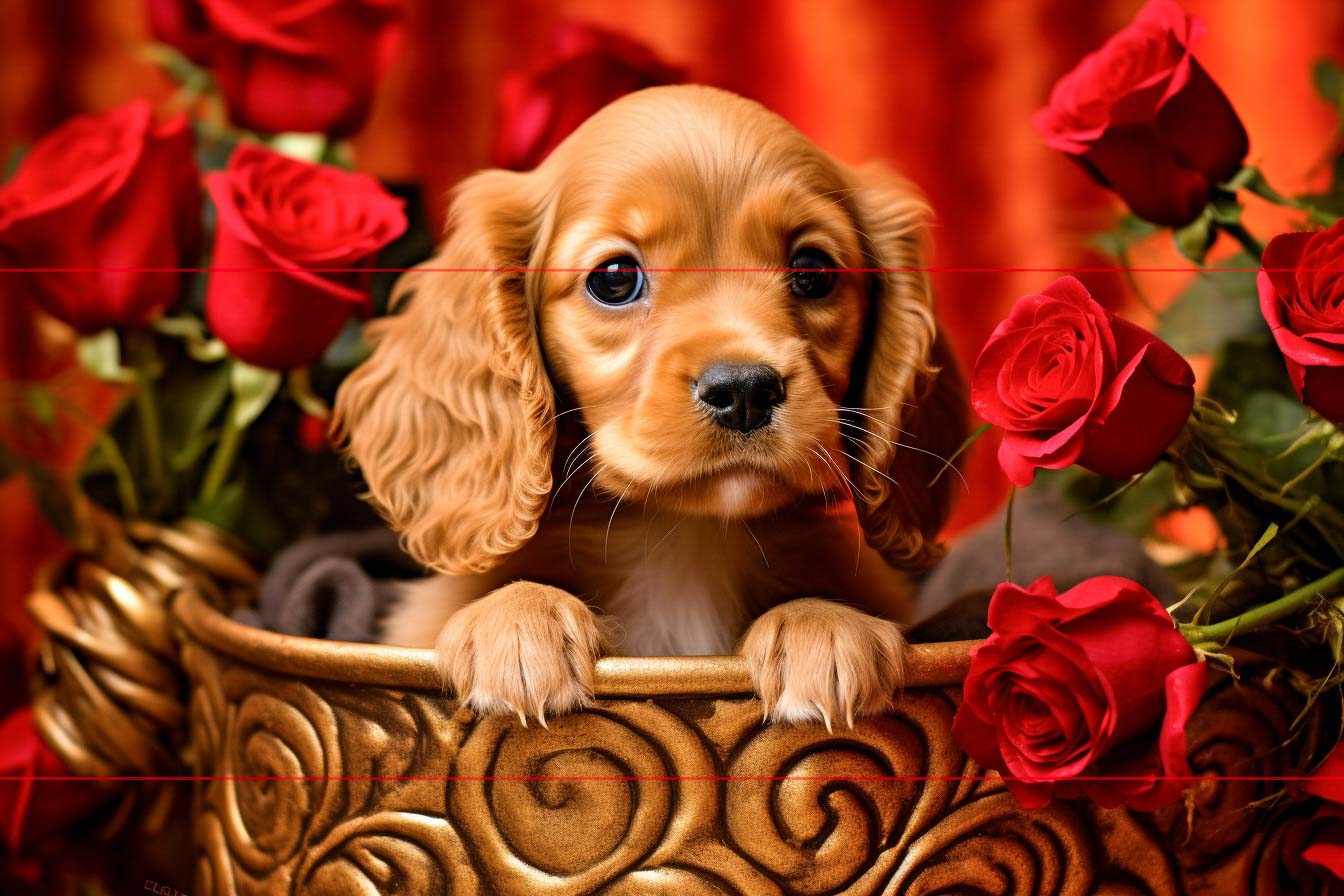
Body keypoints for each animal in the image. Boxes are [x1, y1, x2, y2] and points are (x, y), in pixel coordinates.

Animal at [334, 85, 967, 730]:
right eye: (615, 278)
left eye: (814, 272)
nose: (745, 390)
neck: (680, 541)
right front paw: (515, 621)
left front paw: (825, 625)